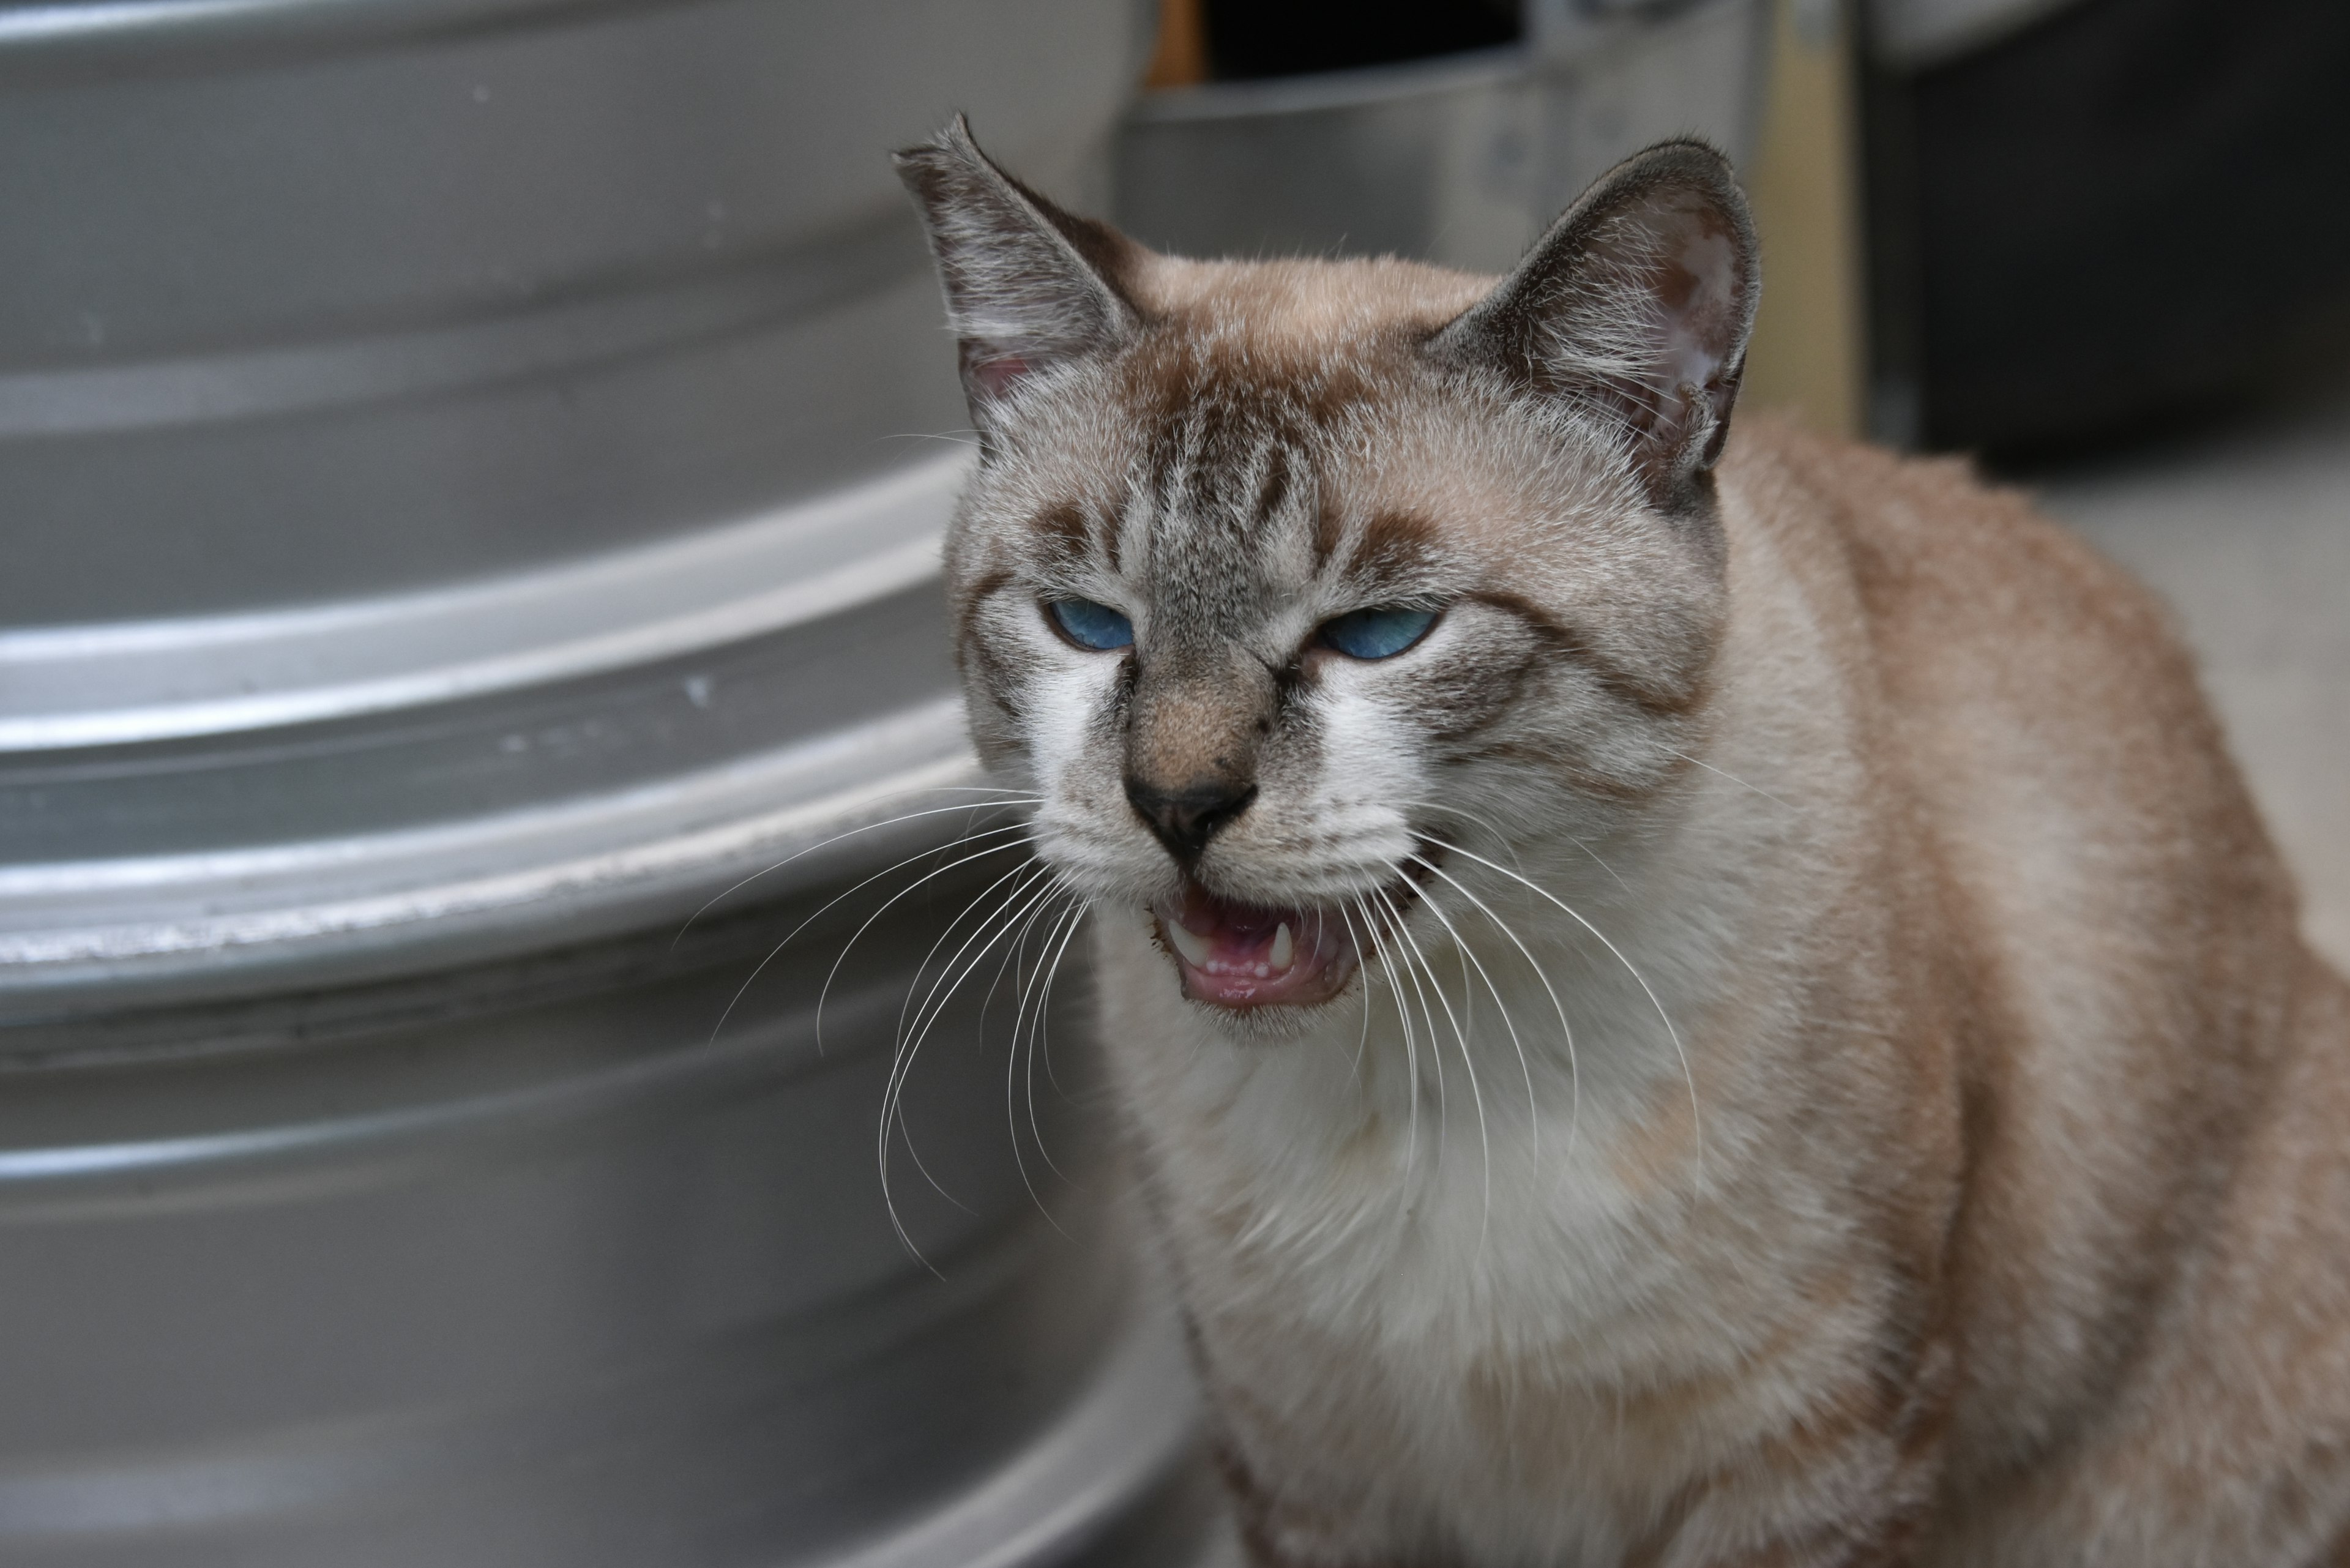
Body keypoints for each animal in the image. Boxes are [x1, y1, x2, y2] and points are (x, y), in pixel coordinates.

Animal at [893, 119, 2350, 1568]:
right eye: (1088, 623)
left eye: (1381, 634)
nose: (1177, 803)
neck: (1419, 1086)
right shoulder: (1306, 1469)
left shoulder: (1805, 1450)